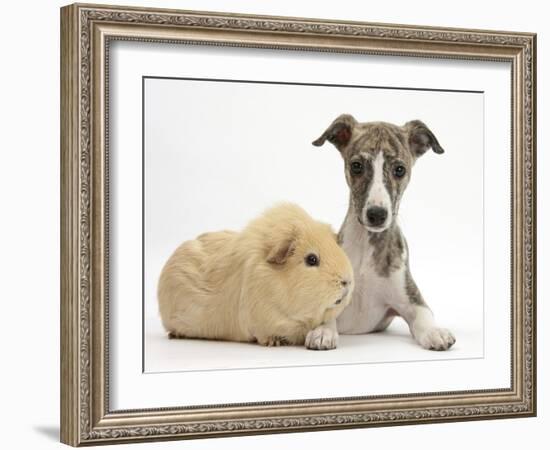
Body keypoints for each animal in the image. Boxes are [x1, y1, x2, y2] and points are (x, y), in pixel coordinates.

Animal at [306, 113, 458, 352]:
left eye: (400, 169)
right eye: (356, 166)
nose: (377, 214)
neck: (367, 247)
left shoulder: (409, 298)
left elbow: (424, 315)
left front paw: (435, 332)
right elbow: (325, 311)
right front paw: (323, 331)